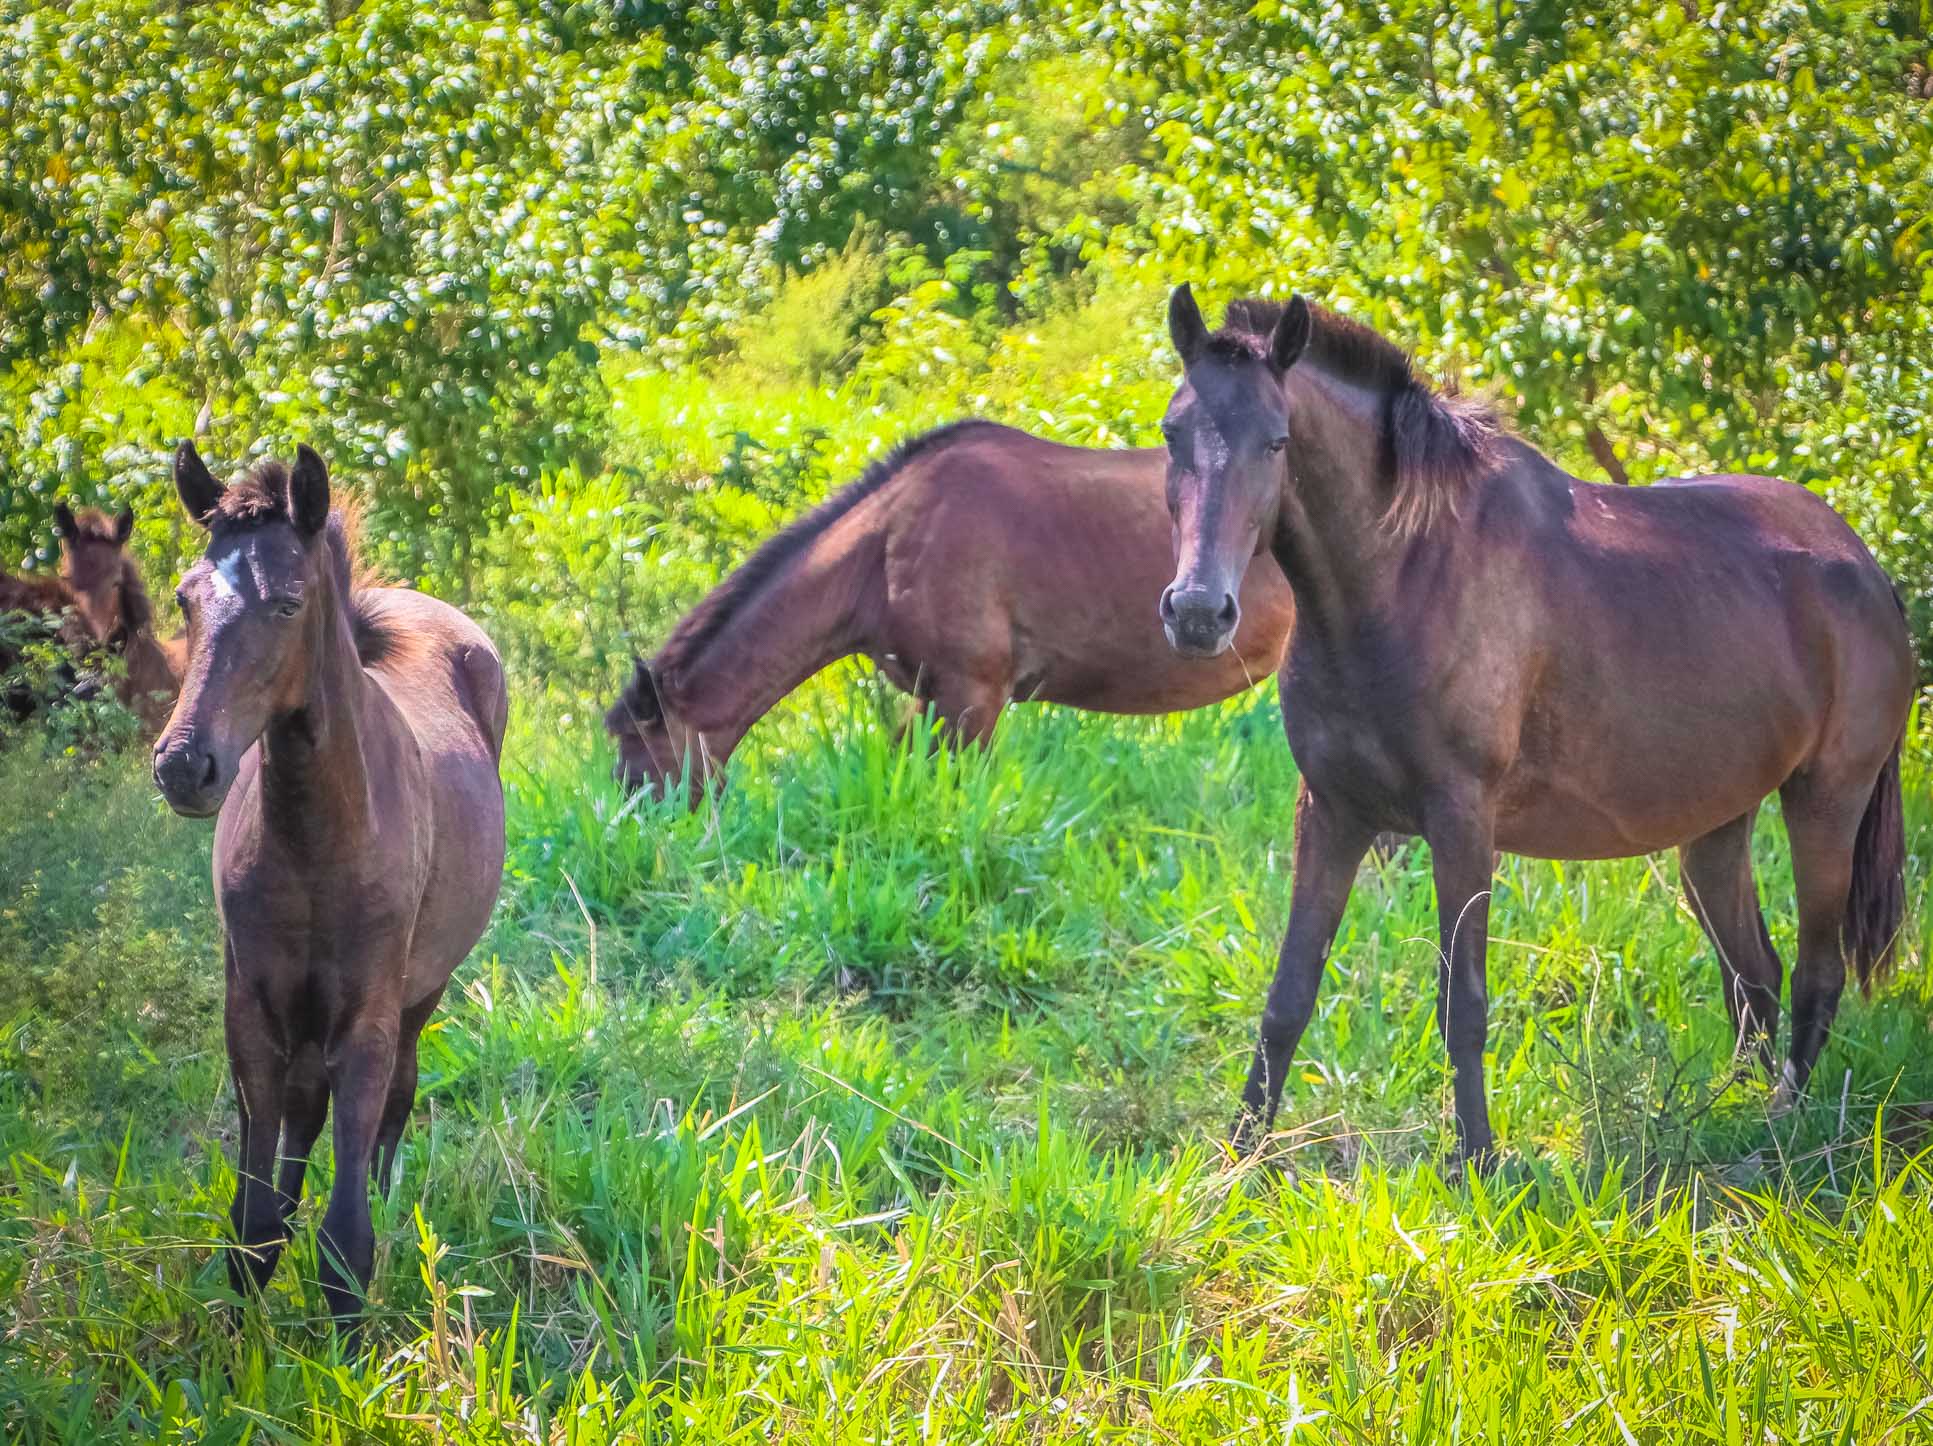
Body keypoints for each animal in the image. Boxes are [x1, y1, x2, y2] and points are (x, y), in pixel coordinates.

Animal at [152, 441, 508, 1328]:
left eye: (287, 604)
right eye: (184, 599)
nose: (184, 765)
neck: (318, 842)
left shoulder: (368, 1016)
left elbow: (346, 1243)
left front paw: (344, 1357)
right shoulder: (249, 1008)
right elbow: (250, 1225)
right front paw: (244, 1350)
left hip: (422, 992)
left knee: (393, 1104)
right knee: (305, 1114)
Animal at [1157, 285, 1913, 1165]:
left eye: (1276, 442)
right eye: (1172, 433)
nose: (1199, 612)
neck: (1401, 578)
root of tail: (1865, 567)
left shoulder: (1460, 823)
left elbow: (1462, 1005)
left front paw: (1476, 1161)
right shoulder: (1333, 813)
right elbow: (1287, 997)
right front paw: (1237, 1161)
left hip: (1826, 800)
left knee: (1814, 974)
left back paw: (1782, 1125)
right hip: (1715, 828)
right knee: (1751, 976)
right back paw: (1730, 1114)